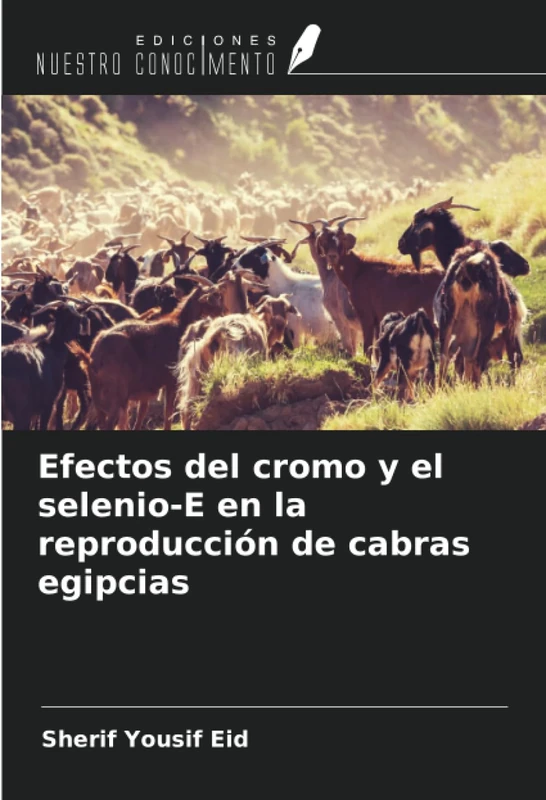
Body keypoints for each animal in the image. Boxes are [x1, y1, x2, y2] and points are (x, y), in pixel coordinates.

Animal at [316, 218, 444, 358]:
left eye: (342, 238)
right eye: (323, 239)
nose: (332, 256)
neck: (359, 269)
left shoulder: (366, 315)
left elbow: (367, 347)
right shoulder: (378, 319)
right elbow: (377, 348)